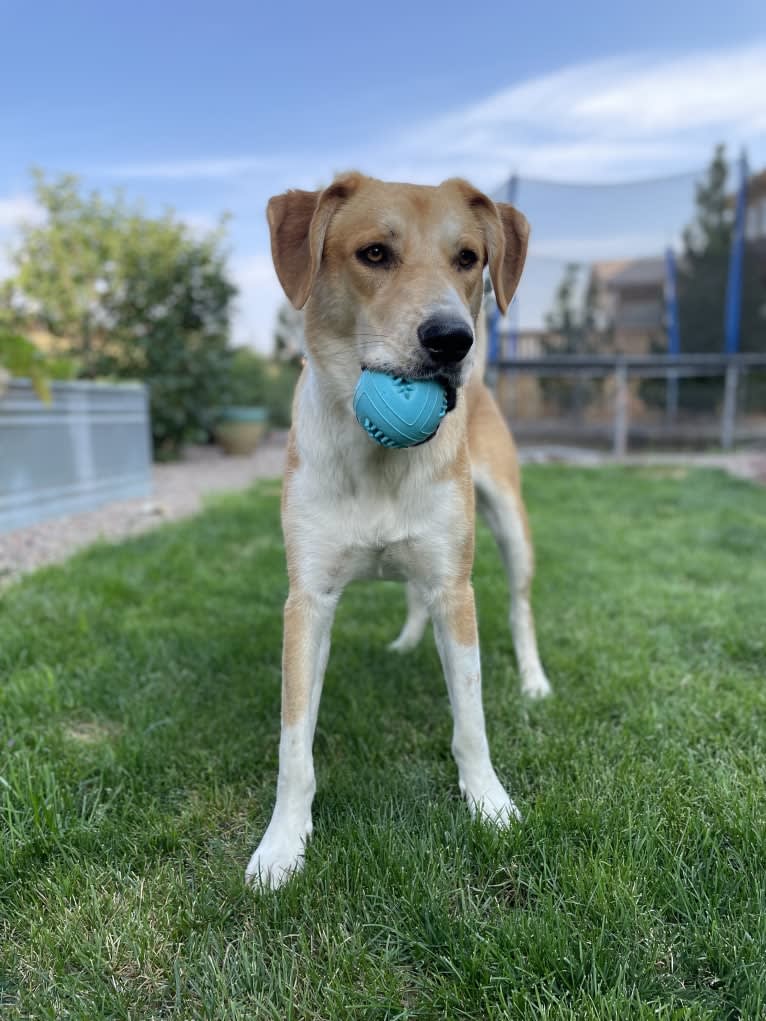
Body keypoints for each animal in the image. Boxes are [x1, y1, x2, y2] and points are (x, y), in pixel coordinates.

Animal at [249, 171, 555, 890]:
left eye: (468, 258)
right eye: (374, 254)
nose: (452, 340)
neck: (377, 459)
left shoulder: (456, 589)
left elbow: (471, 719)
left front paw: (489, 803)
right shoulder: (308, 600)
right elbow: (293, 742)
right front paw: (282, 844)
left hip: (510, 527)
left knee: (521, 605)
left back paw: (533, 680)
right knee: (411, 591)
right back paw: (407, 642)